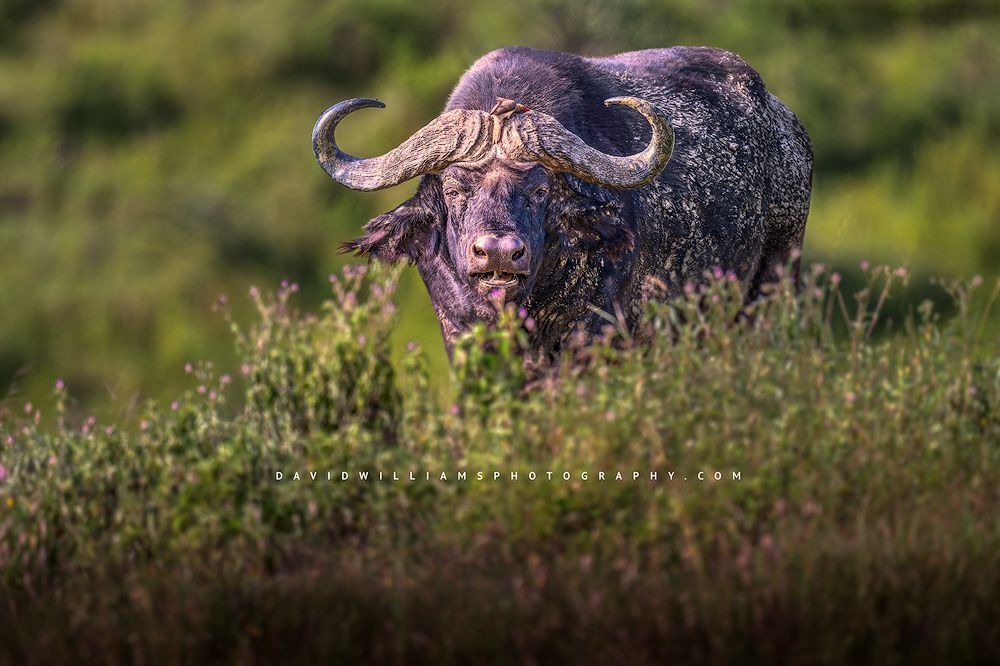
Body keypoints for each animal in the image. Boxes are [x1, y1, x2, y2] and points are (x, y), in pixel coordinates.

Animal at [313, 46, 812, 357]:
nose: (498, 253)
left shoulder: (593, 333)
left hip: (774, 278)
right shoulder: (458, 333)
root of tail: (786, 126)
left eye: (540, 191)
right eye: (454, 191)